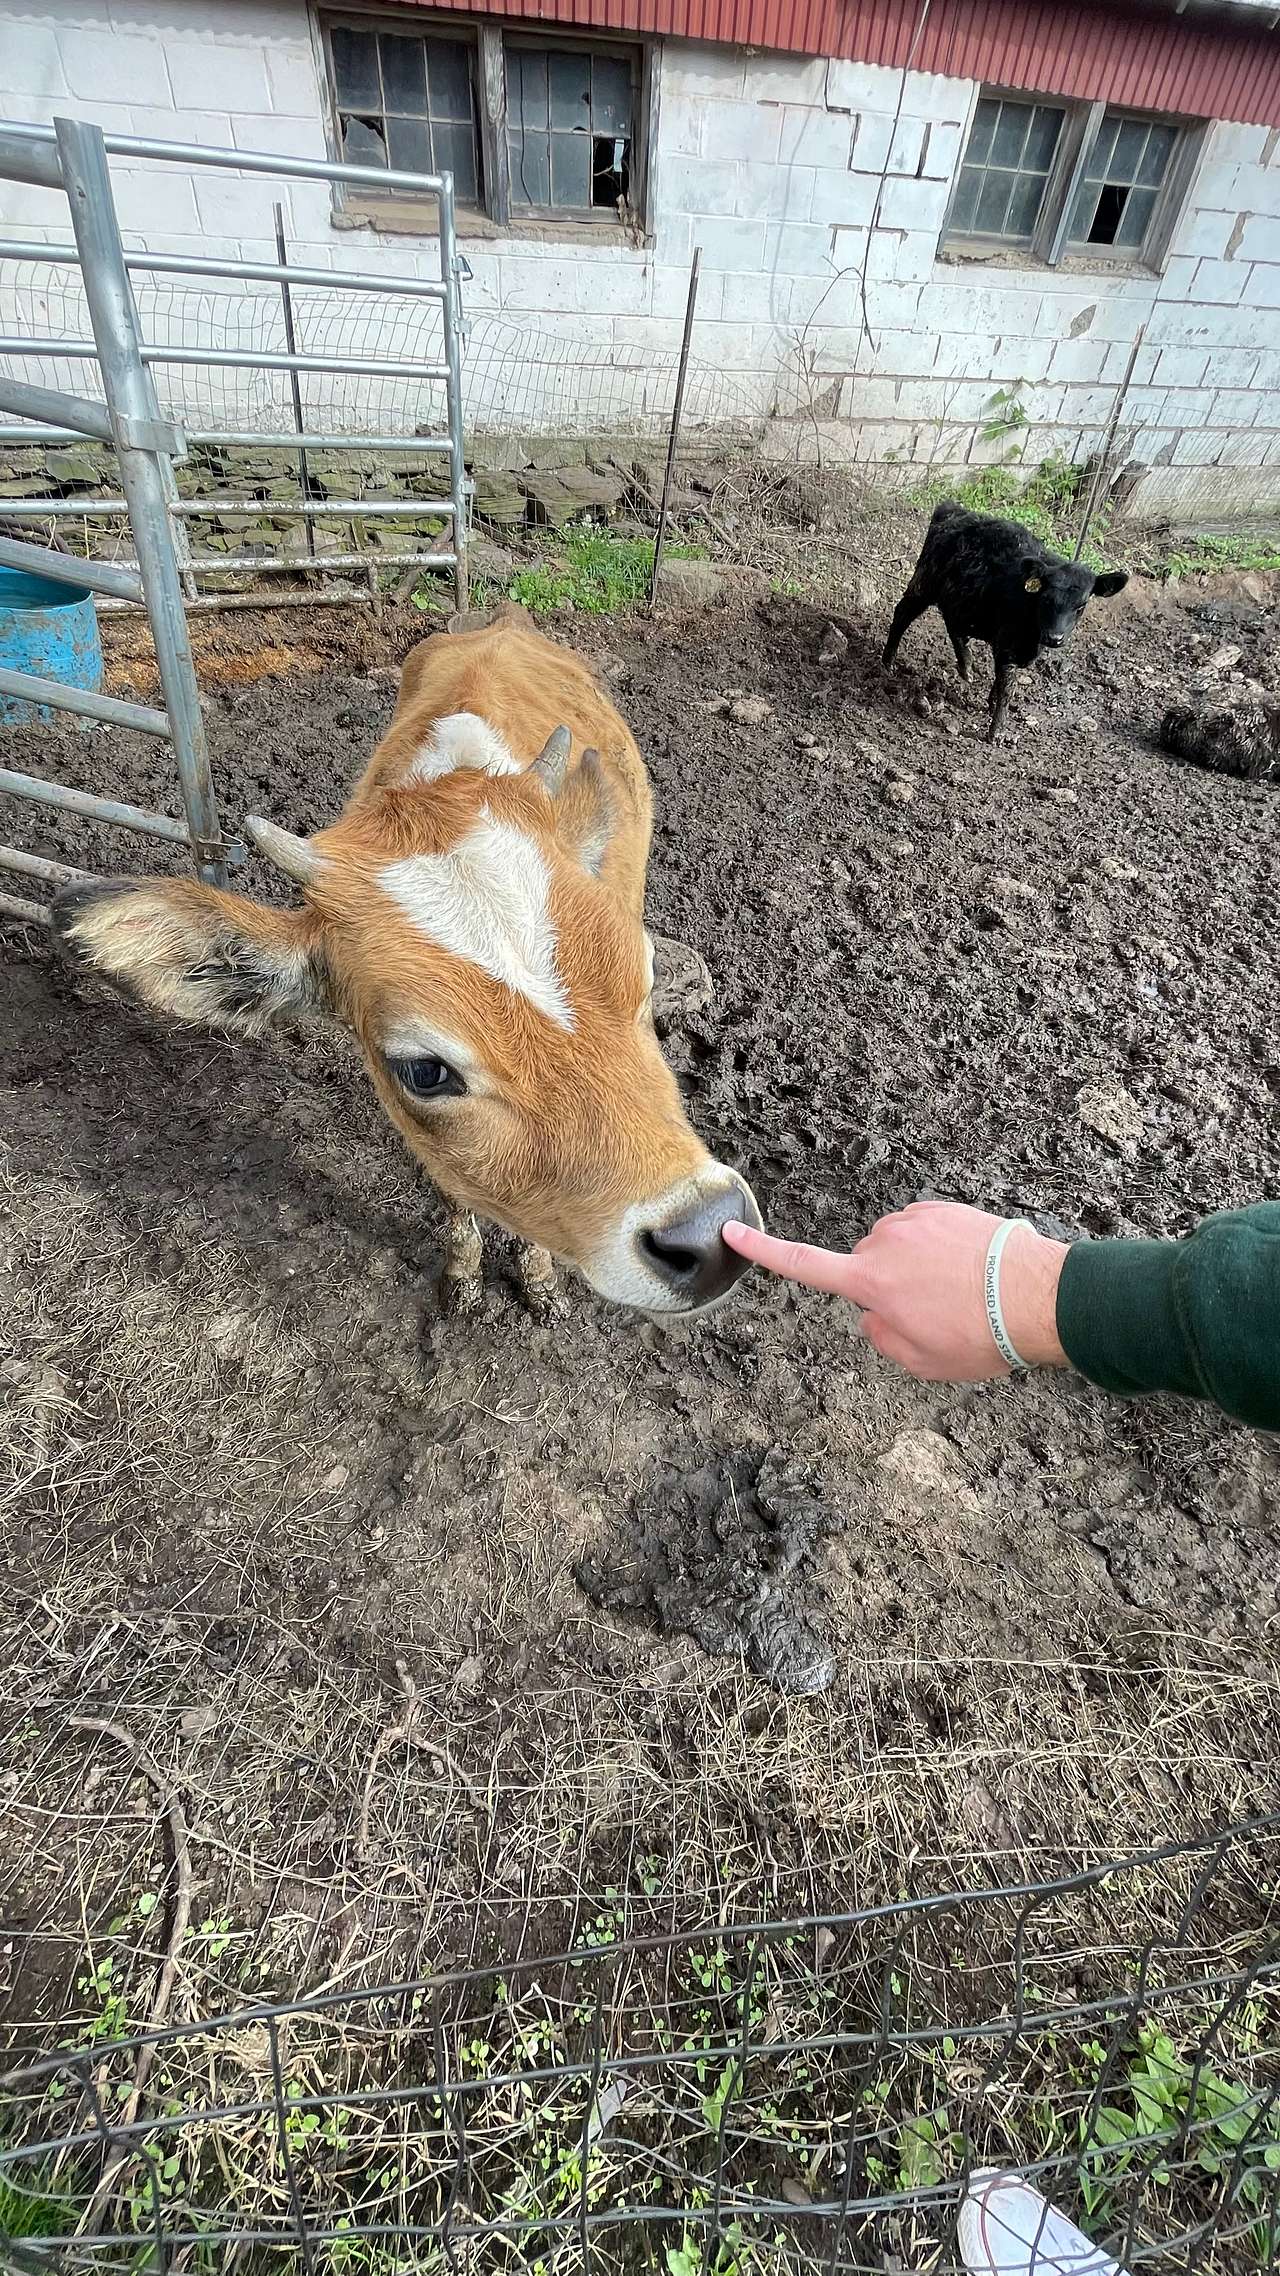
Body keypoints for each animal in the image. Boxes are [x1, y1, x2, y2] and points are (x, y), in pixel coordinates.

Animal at [883, 501, 1129, 739]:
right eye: (1046, 598)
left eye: (1081, 606)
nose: (1055, 638)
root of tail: (954, 509)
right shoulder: (1007, 644)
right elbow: (1007, 685)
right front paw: (997, 731)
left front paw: (991, 705)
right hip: (924, 582)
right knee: (903, 614)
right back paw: (888, 663)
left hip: (962, 600)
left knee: (954, 626)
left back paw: (966, 666)